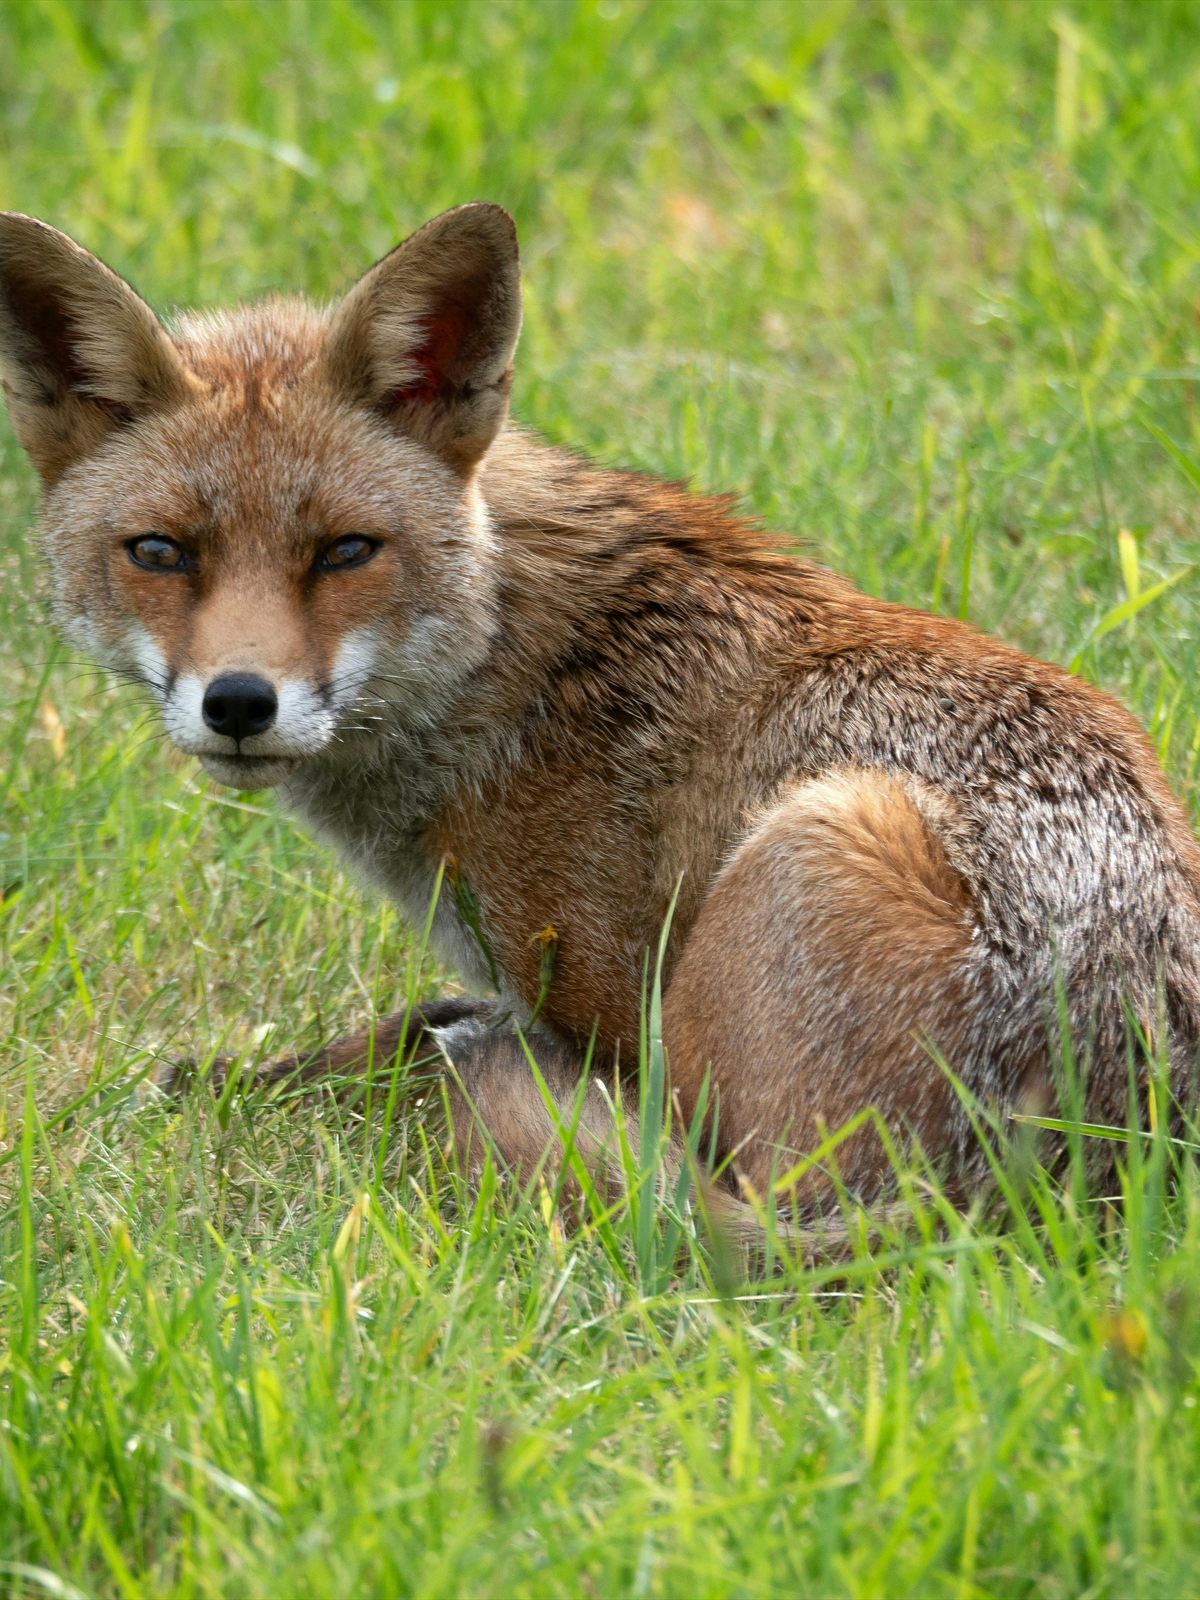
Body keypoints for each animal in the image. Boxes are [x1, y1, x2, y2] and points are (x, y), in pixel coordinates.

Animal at [3, 201, 1200, 1231]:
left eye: (346, 550)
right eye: (161, 552)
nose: (241, 703)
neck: (503, 662)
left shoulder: (612, 1009)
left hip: (816, 850)